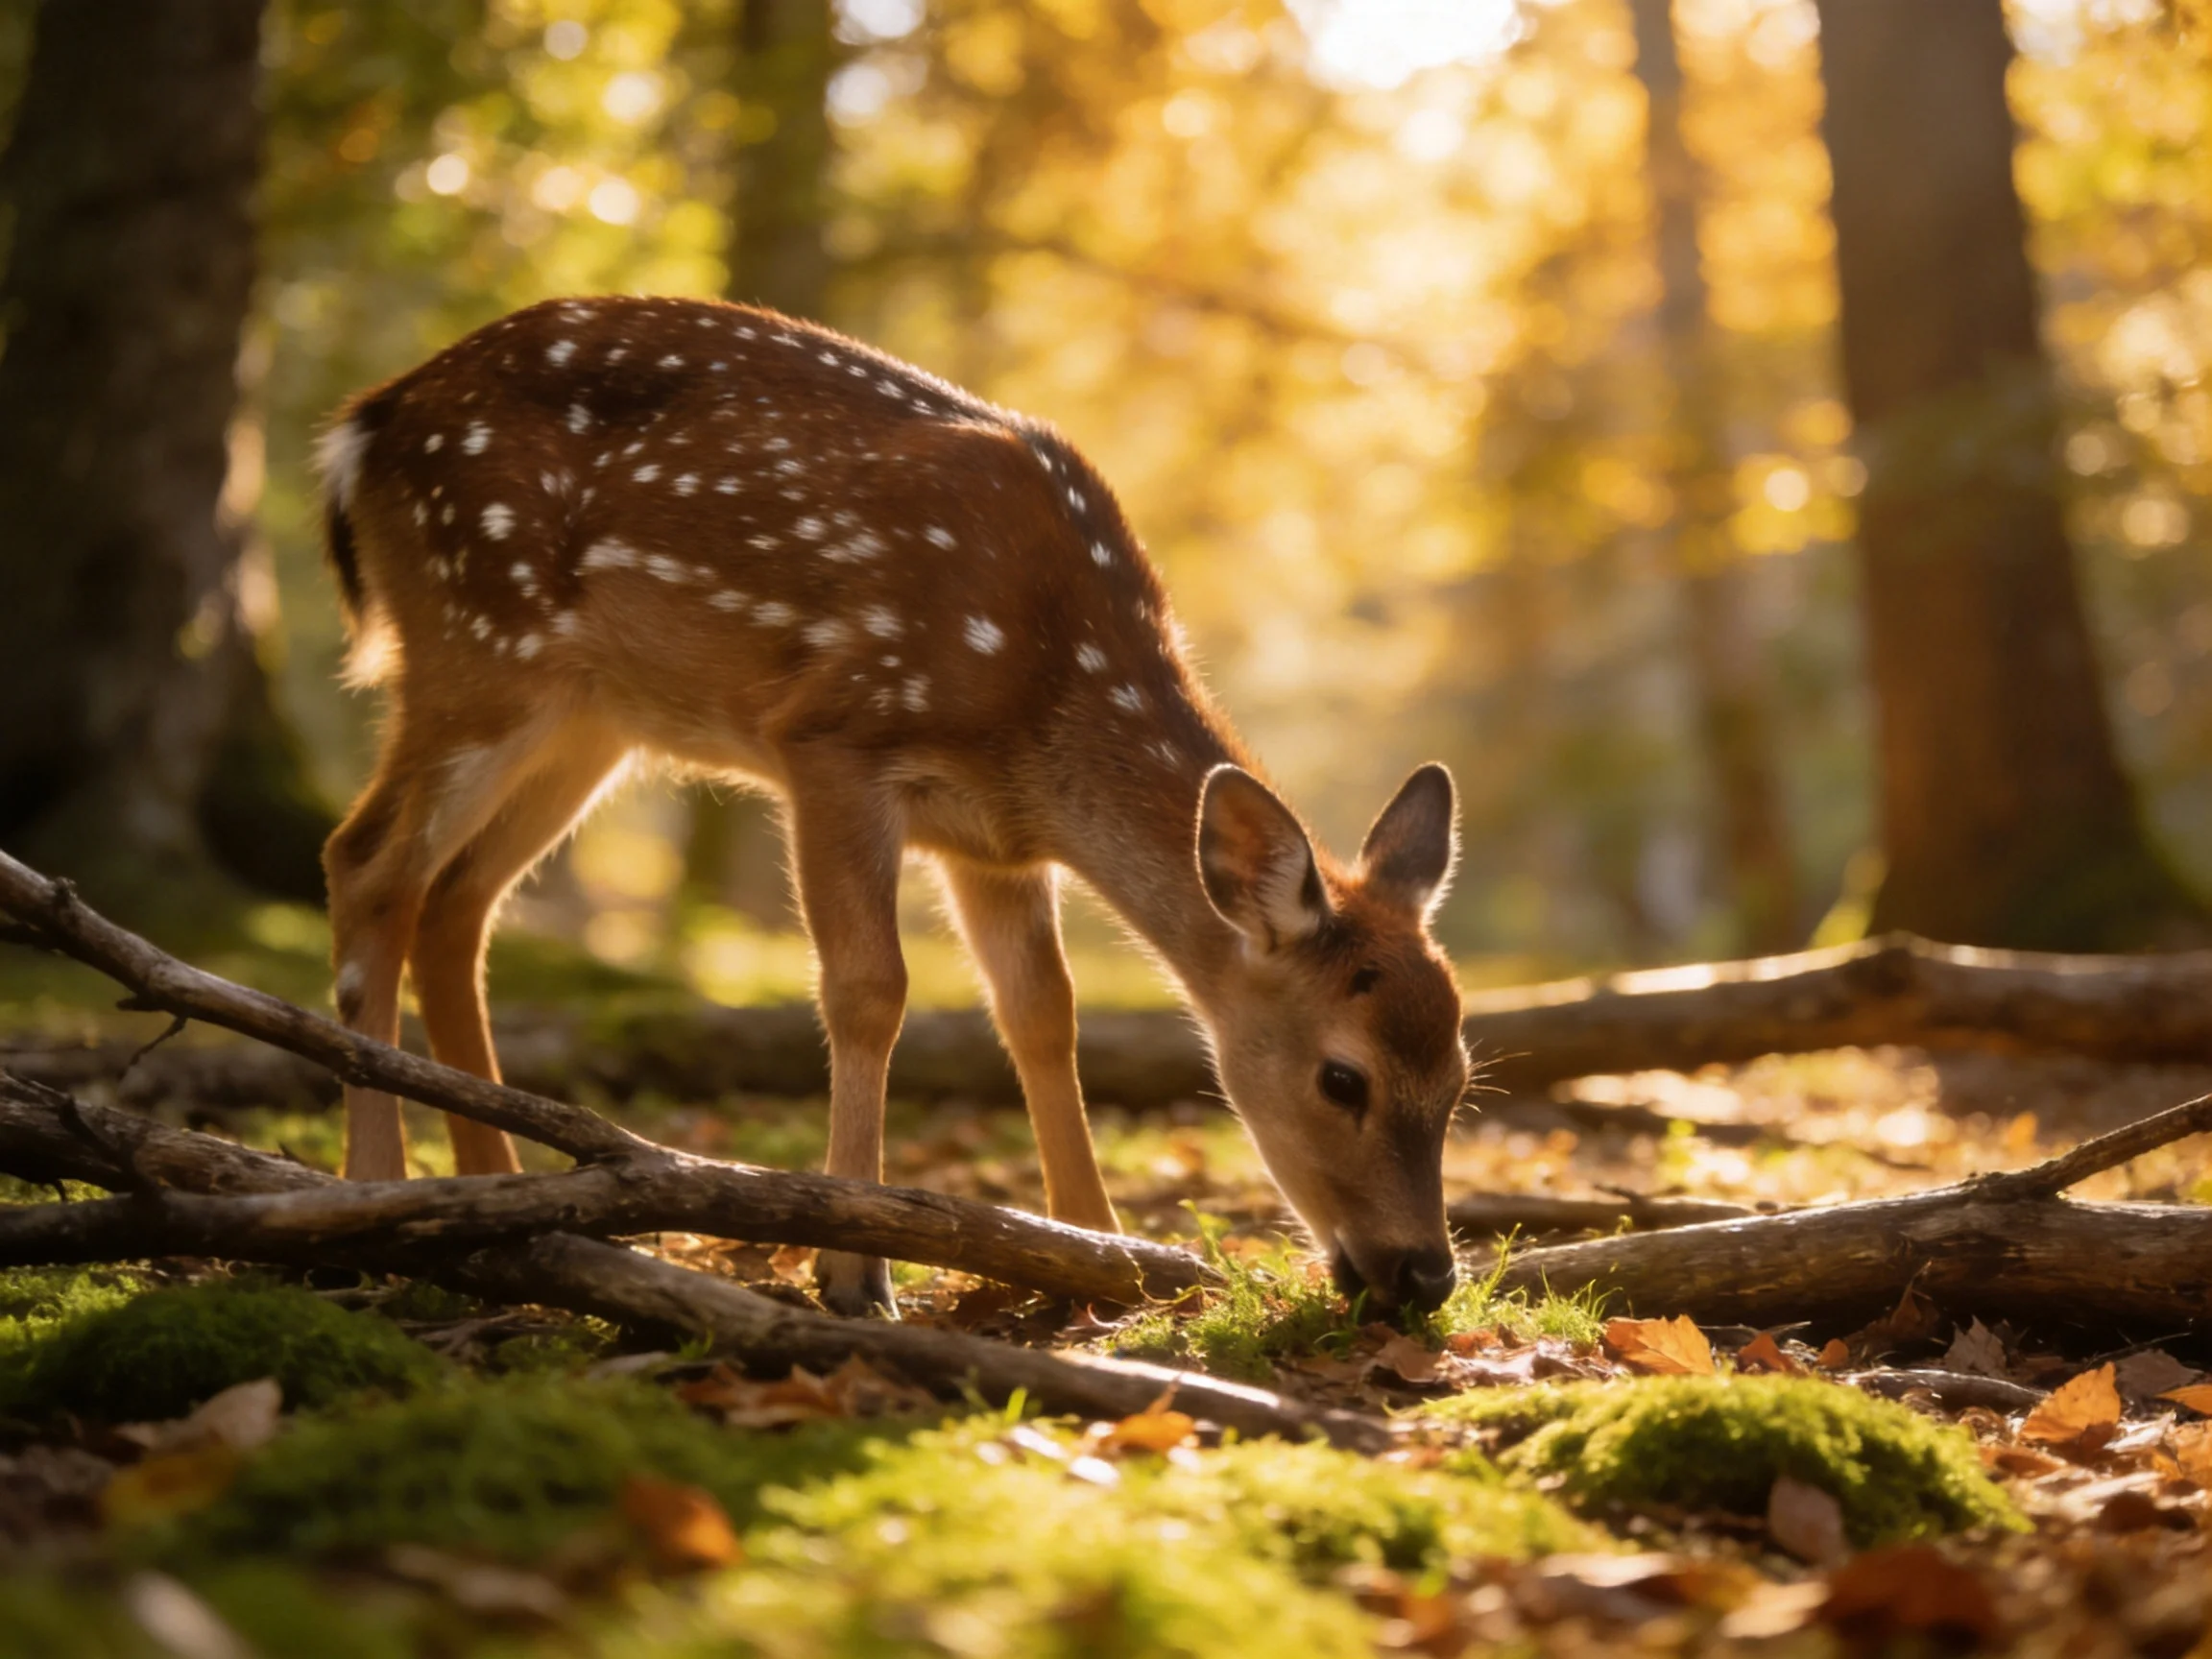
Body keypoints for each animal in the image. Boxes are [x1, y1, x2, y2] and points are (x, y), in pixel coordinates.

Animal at [313, 294, 1468, 1318]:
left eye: (1461, 1078)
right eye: (1342, 1078)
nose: (1423, 1275)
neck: (1045, 697)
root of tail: (361, 428)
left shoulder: (994, 841)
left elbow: (1043, 1014)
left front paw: (1100, 1255)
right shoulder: (833, 738)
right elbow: (870, 989)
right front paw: (856, 1269)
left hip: (591, 716)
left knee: (455, 899)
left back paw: (500, 1194)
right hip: (478, 639)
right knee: (365, 861)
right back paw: (369, 1207)